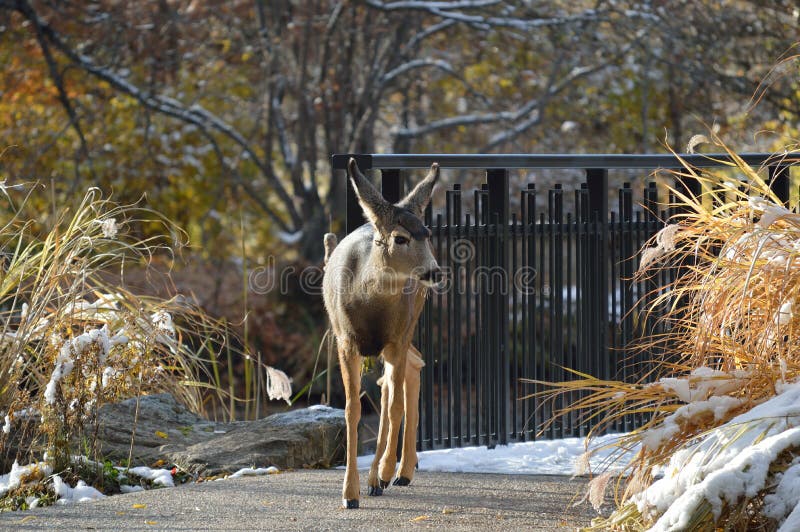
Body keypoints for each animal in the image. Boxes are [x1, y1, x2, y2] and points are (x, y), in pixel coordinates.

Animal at [322, 157, 440, 508]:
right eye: (400, 238)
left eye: (428, 233)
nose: (435, 272)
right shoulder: (346, 342)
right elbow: (352, 409)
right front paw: (349, 493)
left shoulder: (396, 338)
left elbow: (393, 406)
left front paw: (383, 472)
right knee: (408, 369)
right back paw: (389, 476)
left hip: (408, 326)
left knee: (396, 386)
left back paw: (394, 473)